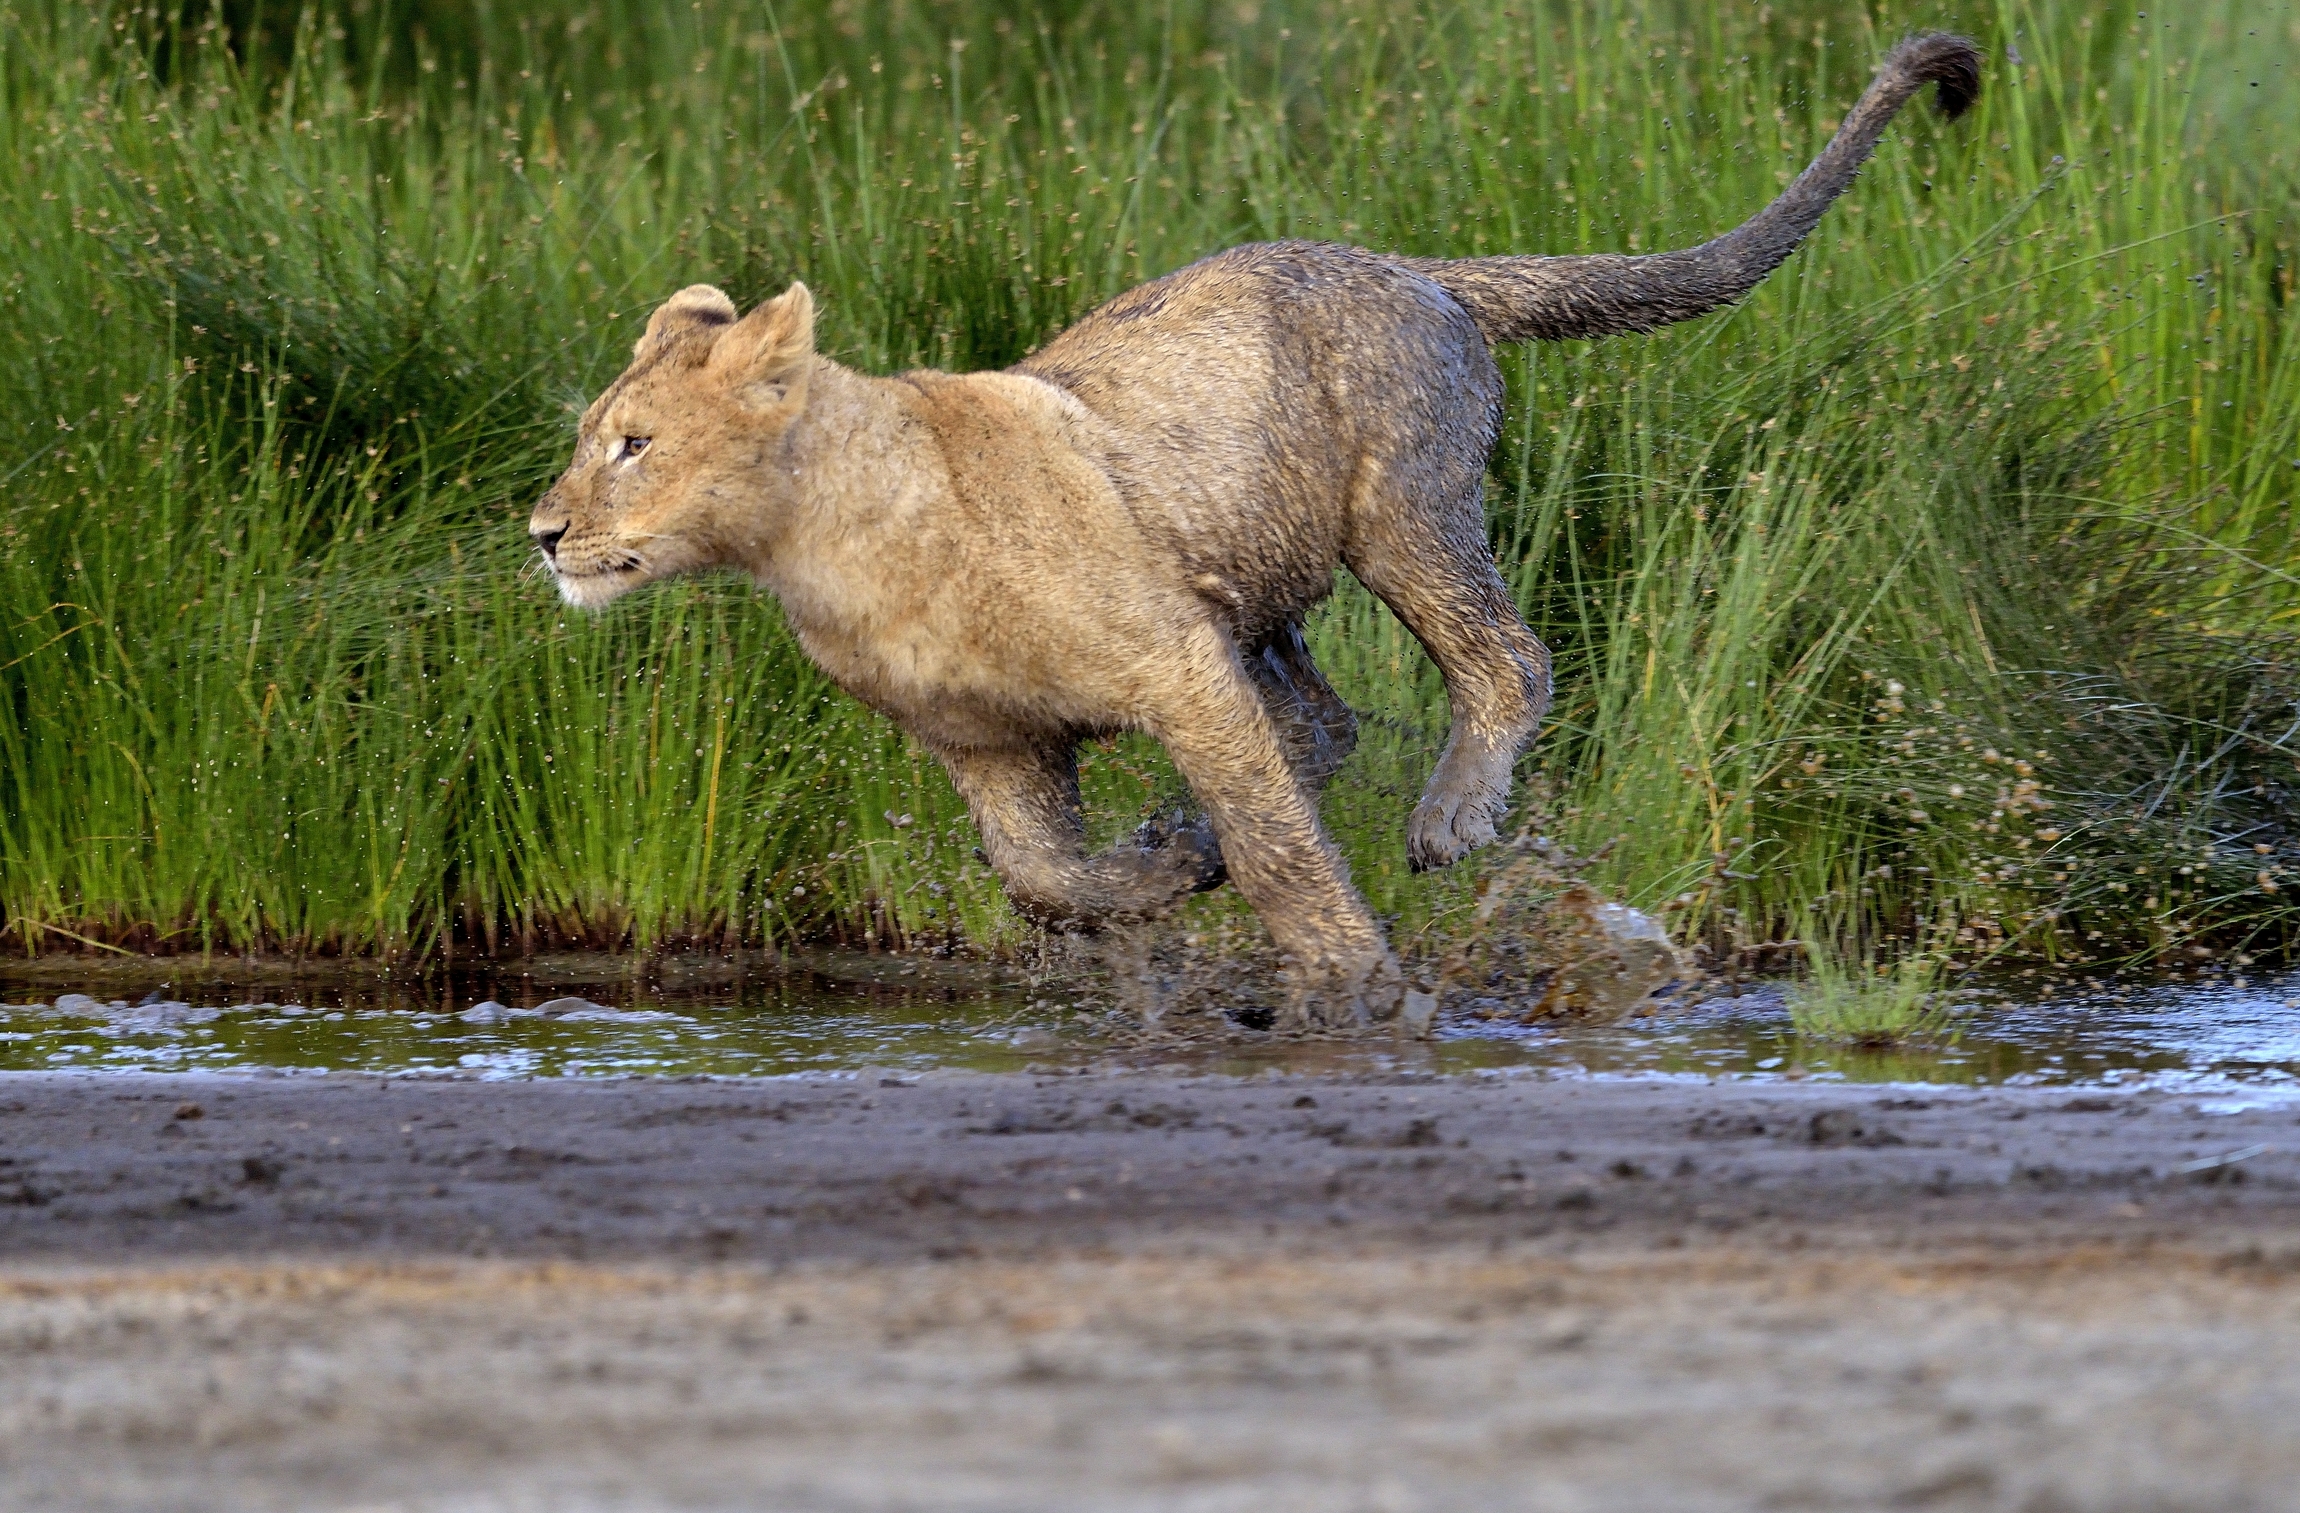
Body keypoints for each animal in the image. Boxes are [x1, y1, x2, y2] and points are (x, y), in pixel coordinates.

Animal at [528, 34, 1980, 1032]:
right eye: (595, 431)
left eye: (634, 442)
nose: (543, 531)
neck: (826, 546)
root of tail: (1420, 269)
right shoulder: (991, 745)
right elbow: (1041, 877)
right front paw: (1159, 875)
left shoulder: (1172, 658)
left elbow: (1277, 840)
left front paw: (1346, 974)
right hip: (1257, 579)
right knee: (1321, 719)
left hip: (1401, 508)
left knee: (1500, 659)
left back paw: (1447, 820)